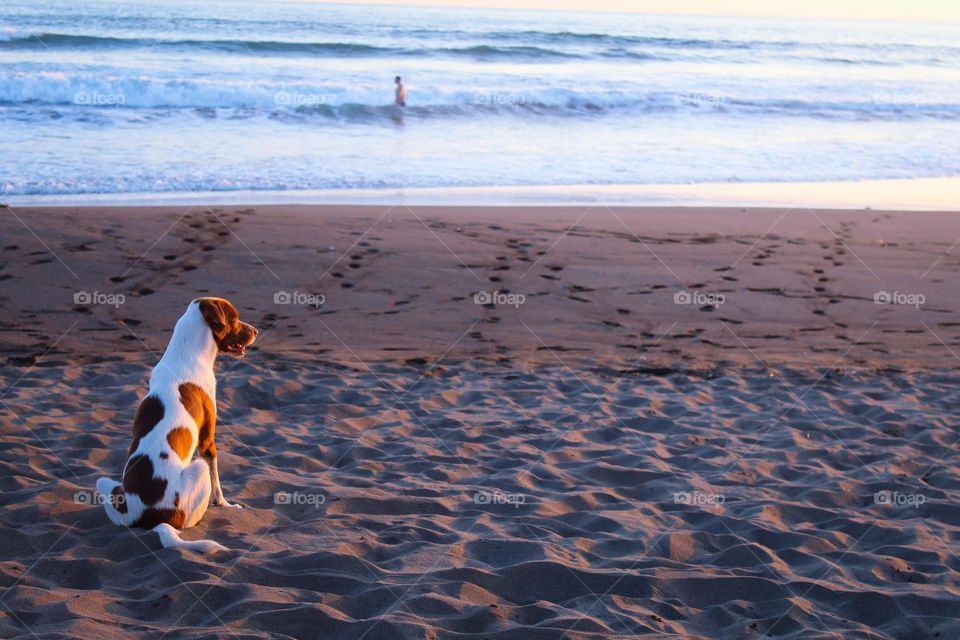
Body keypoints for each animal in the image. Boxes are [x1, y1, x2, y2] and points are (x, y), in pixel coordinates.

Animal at [96, 298, 258, 552]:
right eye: (234, 318)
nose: (256, 331)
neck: (185, 354)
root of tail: (155, 520)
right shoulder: (207, 441)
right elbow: (217, 480)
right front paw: (225, 504)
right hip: (198, 470)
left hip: (106, 485)